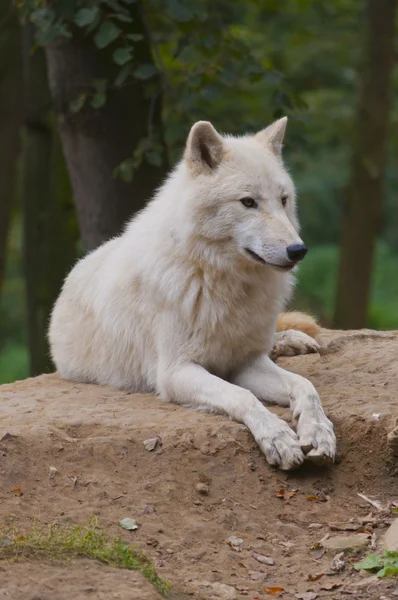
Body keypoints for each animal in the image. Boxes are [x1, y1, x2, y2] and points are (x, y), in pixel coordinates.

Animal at [49, 117, 336, 472]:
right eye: (248, 202)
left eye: (283, 200)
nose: (298, 250)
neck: (222, 282)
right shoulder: (176, 372)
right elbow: (243, 396)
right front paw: (278, 439)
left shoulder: (246, 363)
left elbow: (306, 386)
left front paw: (319, 432)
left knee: (274, 344)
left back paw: (292, 340)